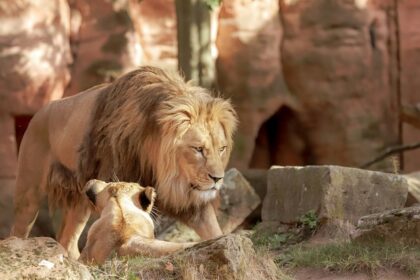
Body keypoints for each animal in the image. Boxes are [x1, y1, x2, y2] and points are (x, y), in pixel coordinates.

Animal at [11, 65, 238, 258]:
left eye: (221, 149)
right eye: (198, 149)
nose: (218, 179)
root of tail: (39, 112)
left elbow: (214, 230)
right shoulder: (119, 182)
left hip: (81, 201)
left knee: (67, 240)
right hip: (28, 194)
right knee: (18, 230)